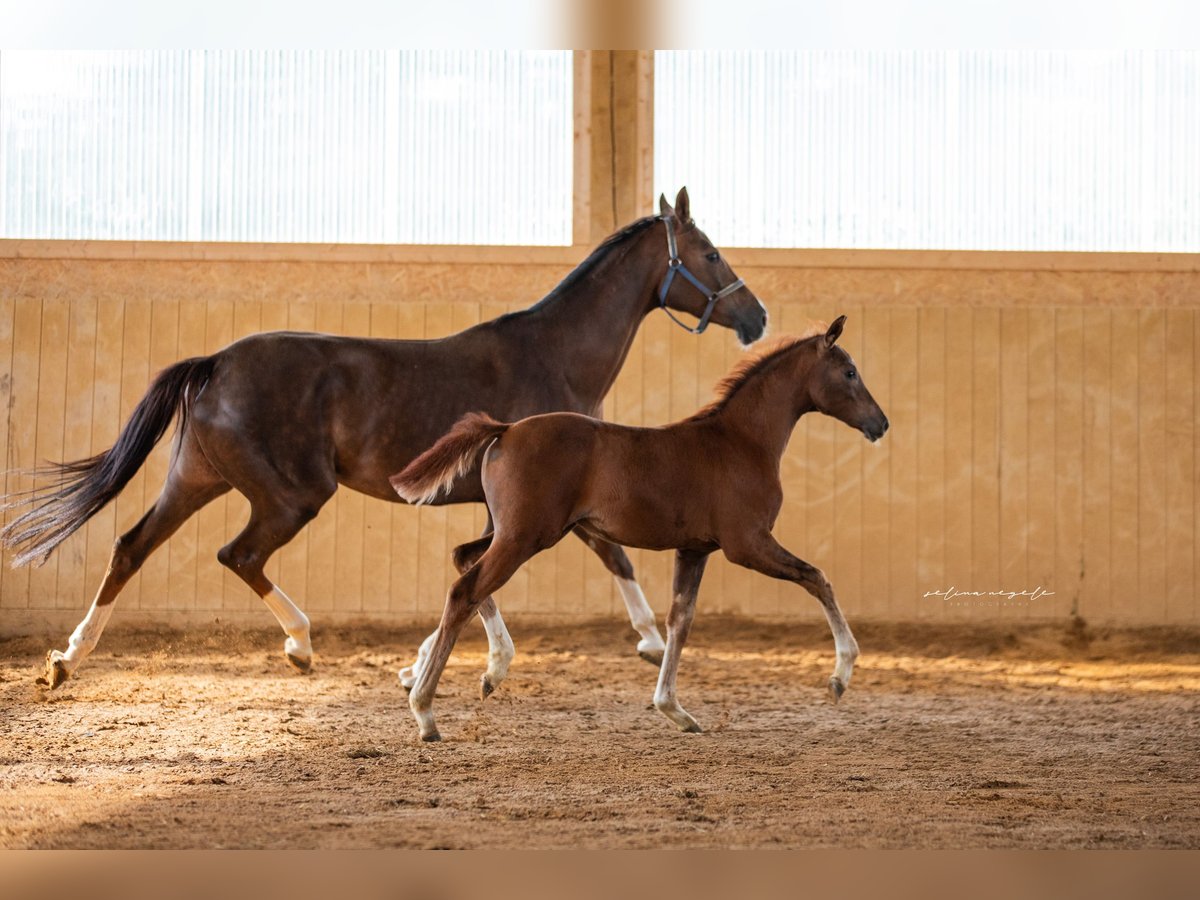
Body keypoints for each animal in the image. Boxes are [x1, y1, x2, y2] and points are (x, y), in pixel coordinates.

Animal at [388, 314, 888, 739]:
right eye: (849, 372)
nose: (880, 423)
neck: (740, 441)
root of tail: (506, 430)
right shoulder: (747, 543)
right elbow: (817, 578)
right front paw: (841, 675)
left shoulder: (695, 549)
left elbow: (680, 621)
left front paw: (674, 709)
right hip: (525, 537)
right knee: (464, 590)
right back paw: (427, 712)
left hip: (514, 533)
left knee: (463, 560)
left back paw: (492, 670)